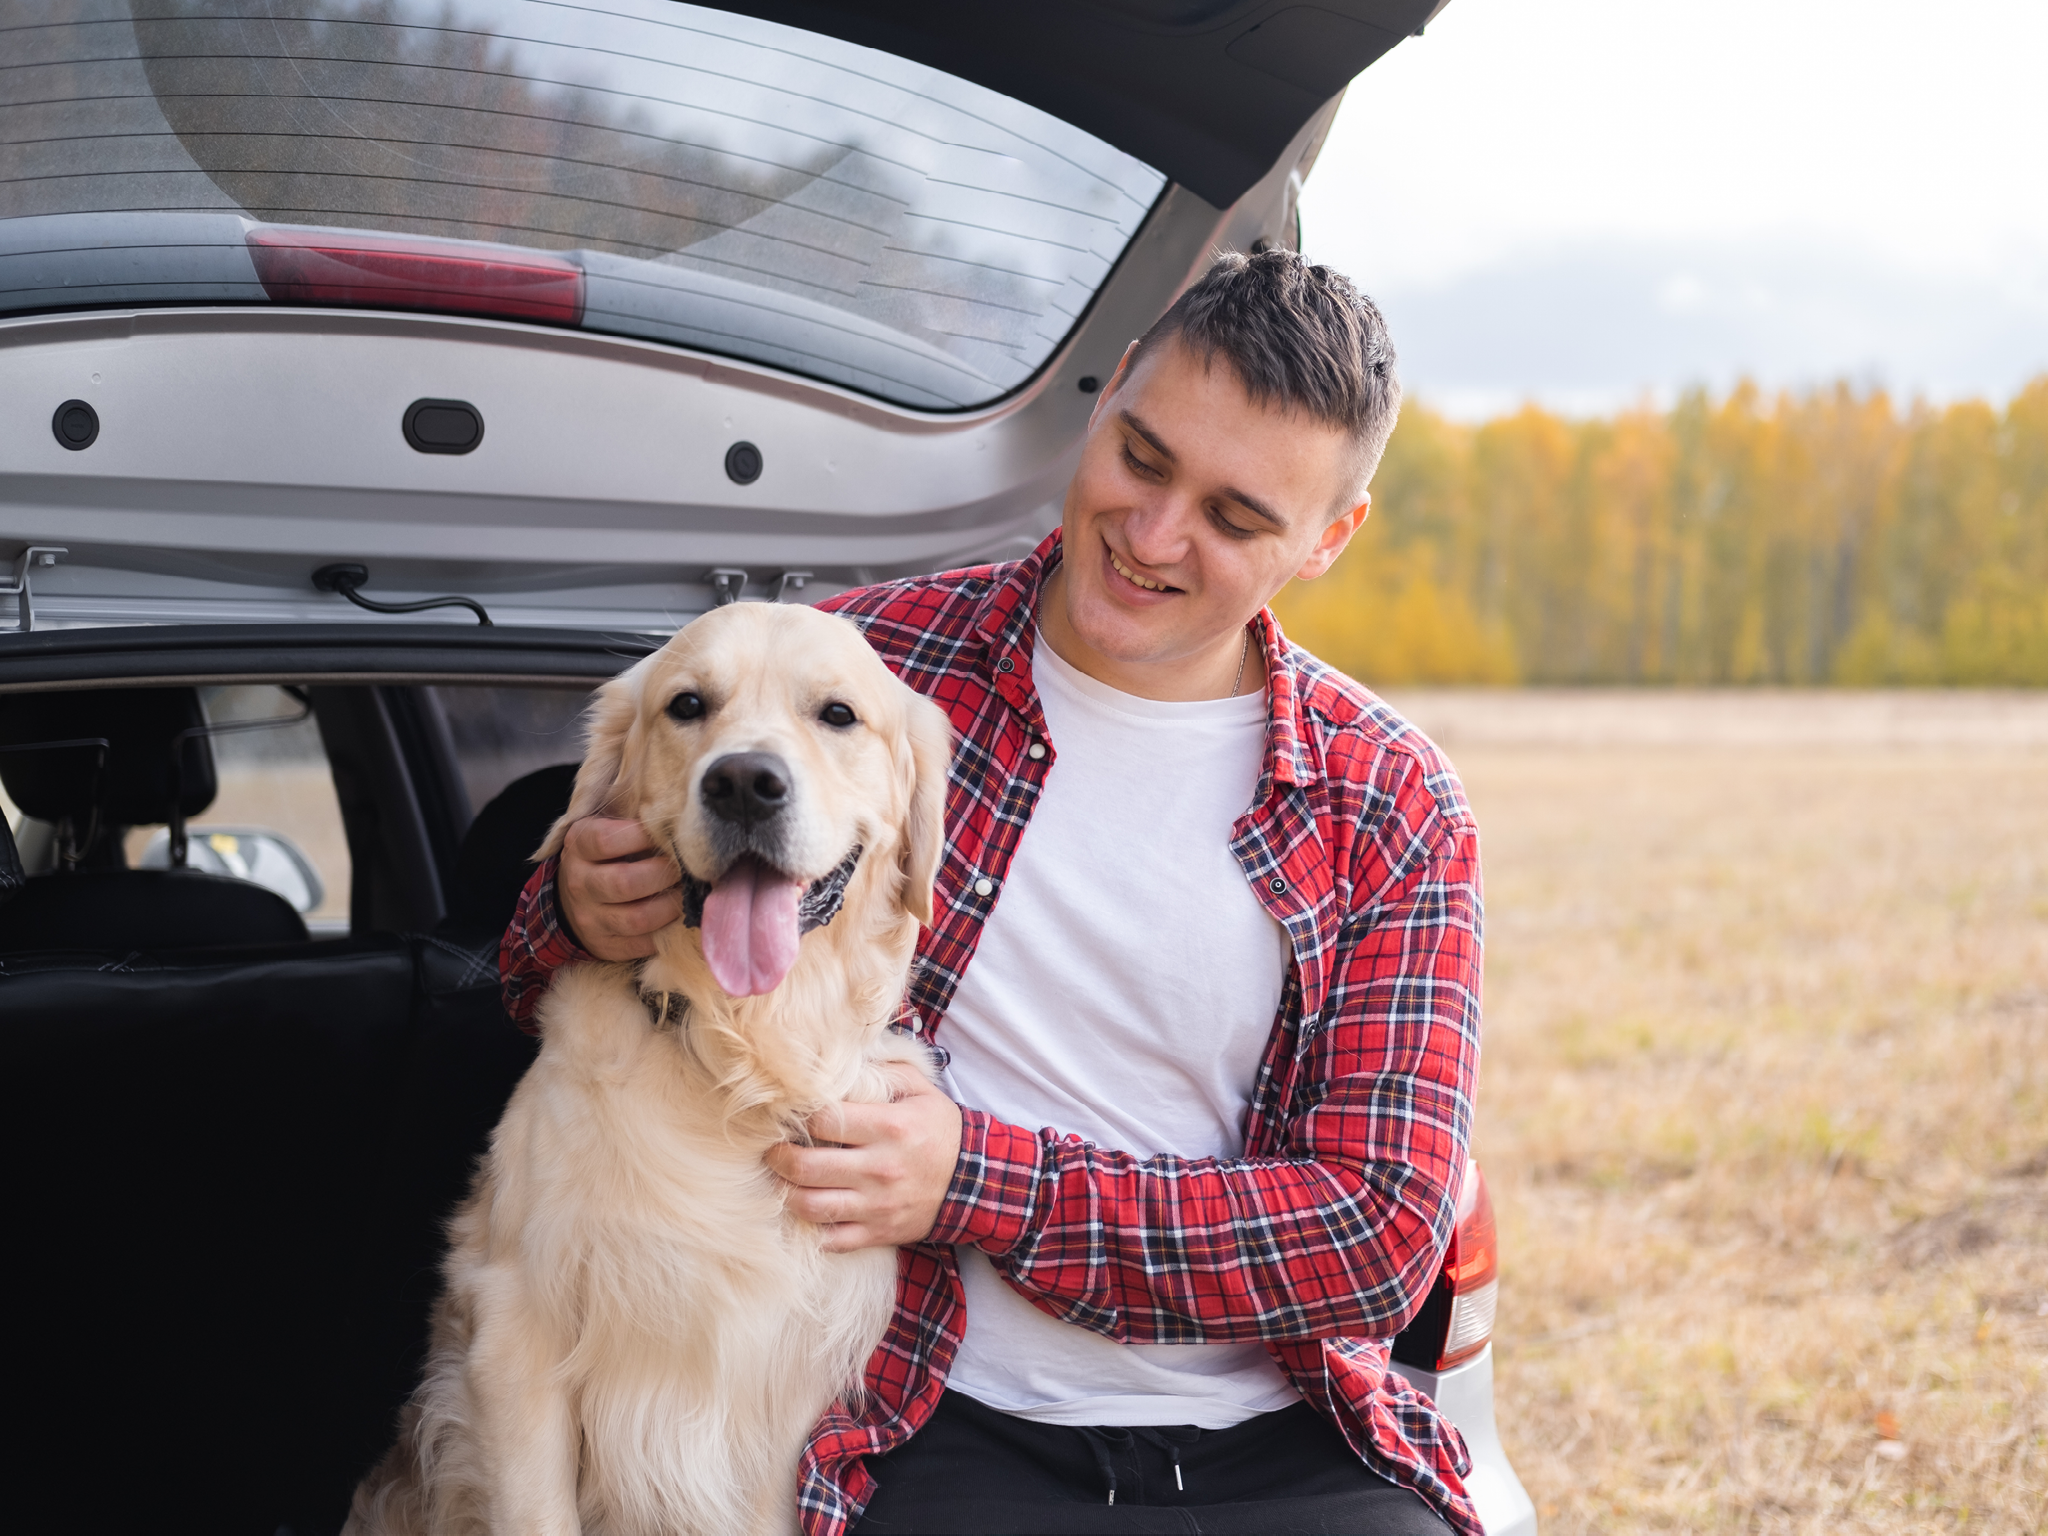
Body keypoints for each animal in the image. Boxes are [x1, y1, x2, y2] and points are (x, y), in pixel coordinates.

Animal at [350, 602, 950, 1536]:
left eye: (838, 715)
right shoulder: (517, 1338)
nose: (744, 783)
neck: (740, 1062)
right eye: (687, 705)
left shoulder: (784, 1397)